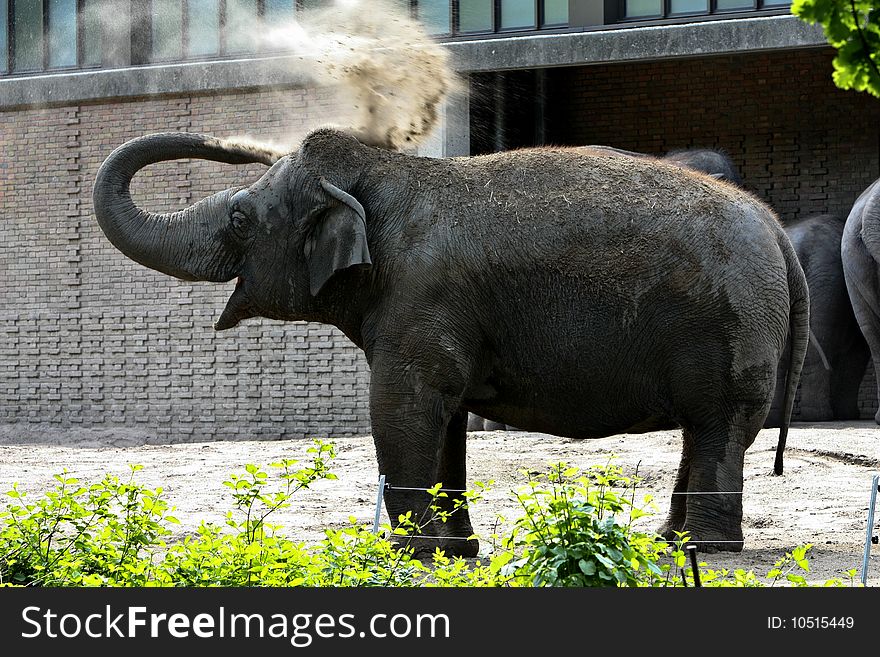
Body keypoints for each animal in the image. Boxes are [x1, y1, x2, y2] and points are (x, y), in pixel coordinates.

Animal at [93, 127, 808, 552]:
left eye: (241, 217)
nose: (239, 145)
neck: (384, 172)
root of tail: (775, 228)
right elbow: (444, 416)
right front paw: (455, 551)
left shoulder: (420, 297)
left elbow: (402, 408)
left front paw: (412, 553)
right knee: (701, 428)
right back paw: (668, 542)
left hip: (733, 327)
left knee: (718, 425)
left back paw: (707, 551)